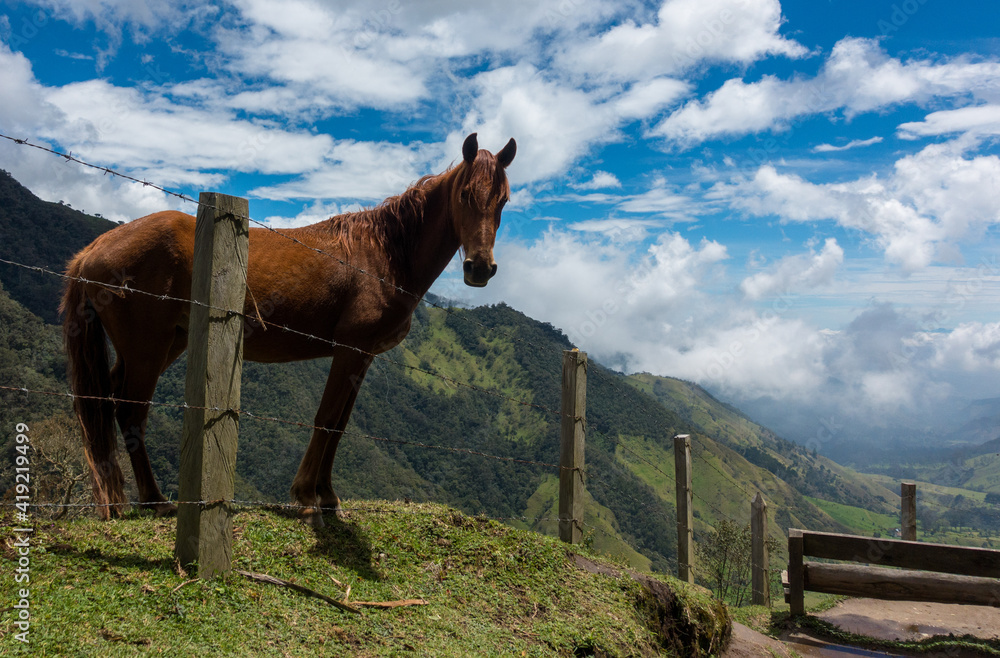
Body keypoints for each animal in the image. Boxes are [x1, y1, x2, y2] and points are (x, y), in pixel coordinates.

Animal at [60, 133, 516, 528]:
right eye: (464, 195)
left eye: (504, 200)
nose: (480, 268)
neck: (384, 254)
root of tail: (93, 249)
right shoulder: (349, 350)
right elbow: (326, 420)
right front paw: (307, 497)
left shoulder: (362, 357)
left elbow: (340, 425)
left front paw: (328, 496)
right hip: (148, 348)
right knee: (130, 411)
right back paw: (156, 501)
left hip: (163, 344)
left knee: (110, 401)